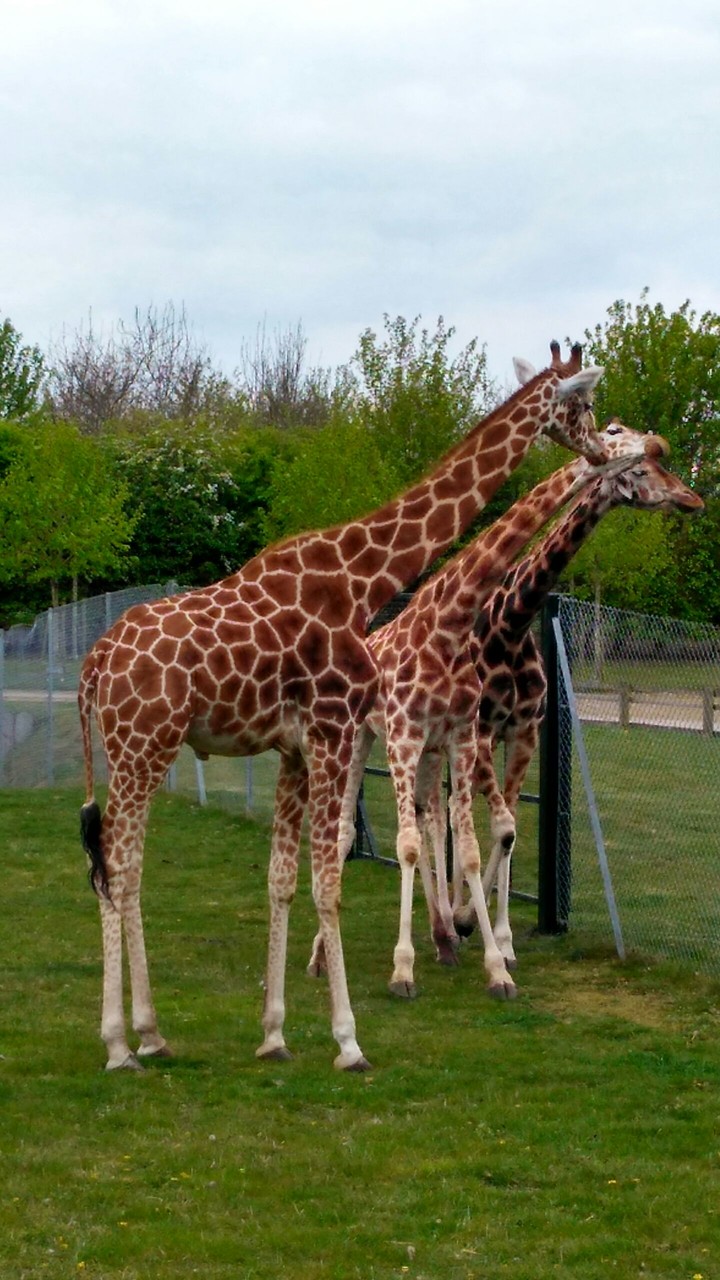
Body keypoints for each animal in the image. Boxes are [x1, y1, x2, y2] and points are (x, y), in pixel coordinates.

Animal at [78, 340, 615, 1073]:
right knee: (119, 868)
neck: (357, 580)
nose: (601, 451)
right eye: (584, 406)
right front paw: (349, 1040)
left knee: (116, 868)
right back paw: (119, 1044)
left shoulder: (296, 746)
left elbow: (286, 877)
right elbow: (327, 880)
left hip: (128, 748)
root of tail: (93, 667)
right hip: (143, 745)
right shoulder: (333, 729)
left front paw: (275, 1035)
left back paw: (151, 1035)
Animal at [306, 422, 670, 1000]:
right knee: (351, 830)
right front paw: (410, 963)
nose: (664, 453)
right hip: (365, 736)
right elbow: (425, 839)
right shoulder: (435, 734)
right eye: (622, 439)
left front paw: (492, 951)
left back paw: (443, 935)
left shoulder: (497, 732)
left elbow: (491, 833)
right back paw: (327, 955)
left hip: (428, 749)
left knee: (432, 817)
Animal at [444, 456, 704, 967]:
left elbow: (509, 829)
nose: (692, 498)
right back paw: (446, 918)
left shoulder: (524, 730)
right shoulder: (481, 730)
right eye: (641, 470)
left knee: (454, 808)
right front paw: (467, 922)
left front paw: (501, 940)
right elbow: (500, 824)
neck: (511, 624)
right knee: (445, 809)